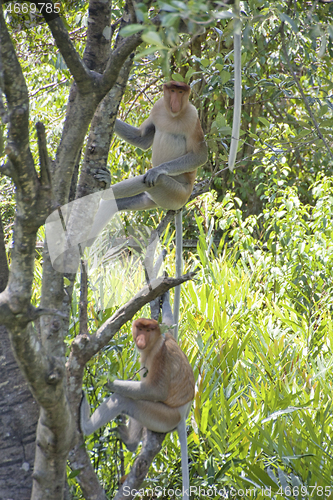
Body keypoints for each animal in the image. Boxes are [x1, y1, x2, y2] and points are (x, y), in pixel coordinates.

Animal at [80, 292, 195, 500]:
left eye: (148, 330)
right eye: (140, 328)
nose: (141, 338)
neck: (155, 342)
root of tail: (183, 414)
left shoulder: (160, 355)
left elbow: (155, 390)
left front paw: (104, 380)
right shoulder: (168, 335)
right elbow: (170, 325)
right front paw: (164, 296)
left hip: (164, 417)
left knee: (126, 399)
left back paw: (86, 426)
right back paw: (131, 443)